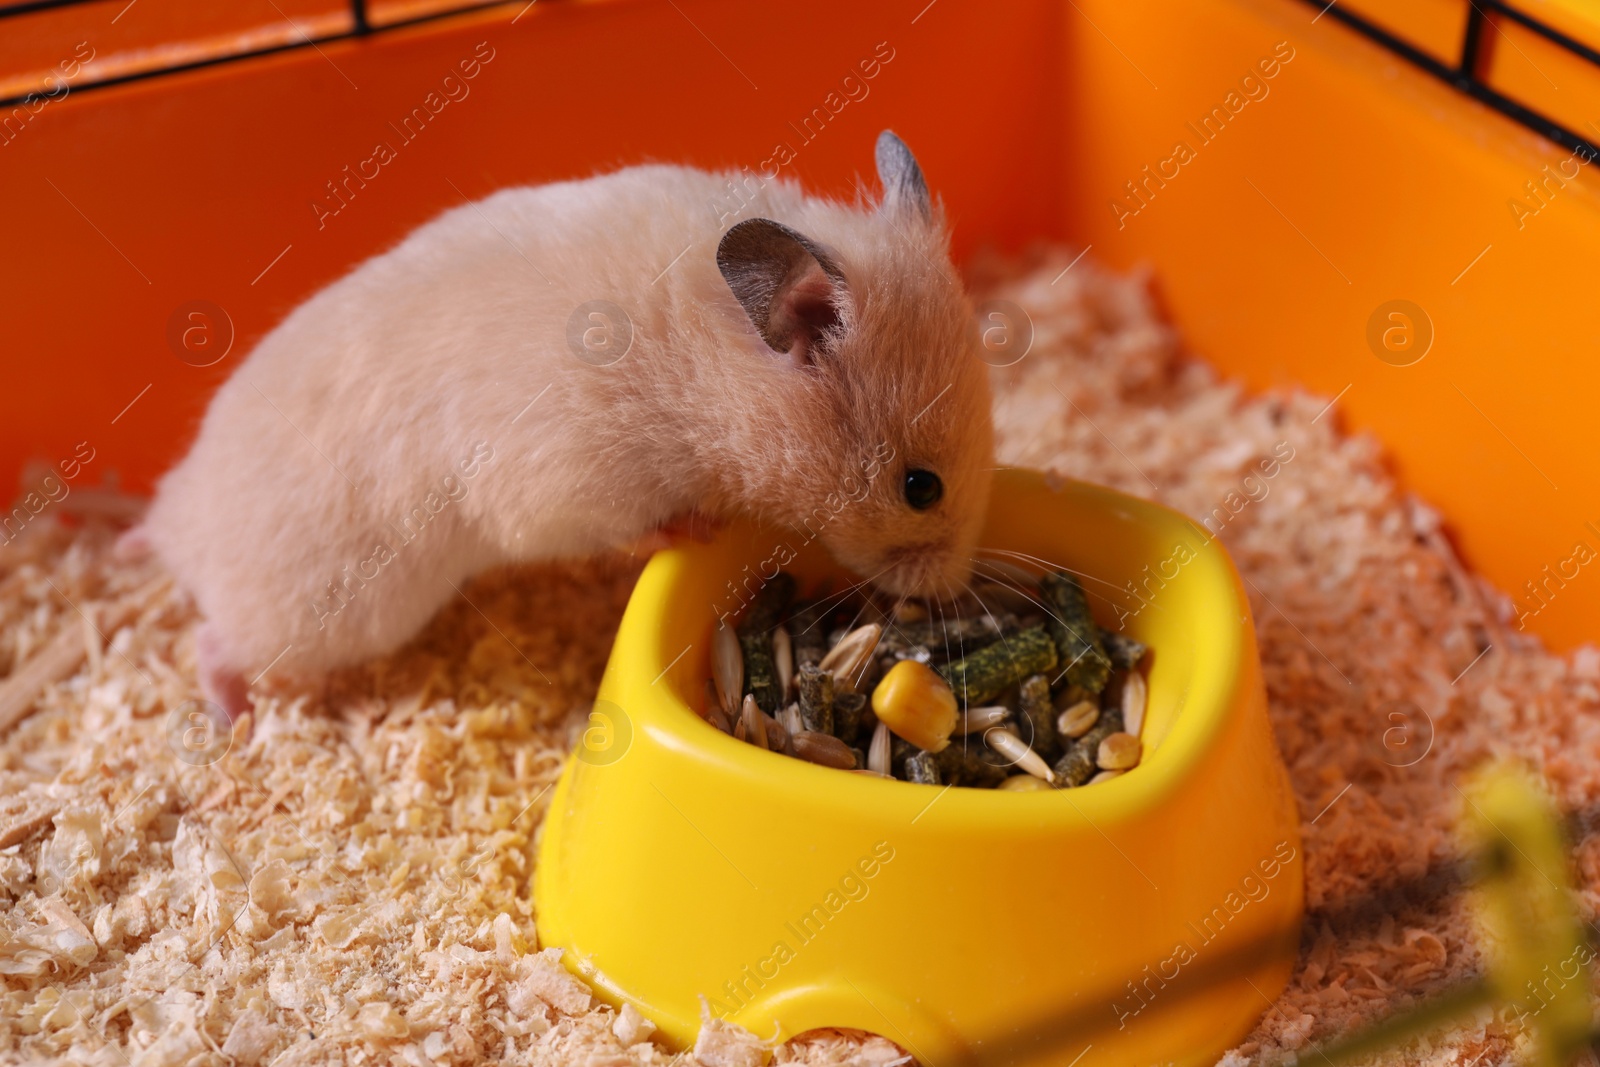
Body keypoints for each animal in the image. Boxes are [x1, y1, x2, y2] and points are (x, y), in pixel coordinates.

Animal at [137, 131, 992, 716]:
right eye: (920, 487)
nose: (950, 589)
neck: (707, 357)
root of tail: (172, 520)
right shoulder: (568, 482)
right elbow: (630, 528)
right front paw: (697, 528)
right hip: (335, 612)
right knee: (214, 639)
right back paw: (232, 714)